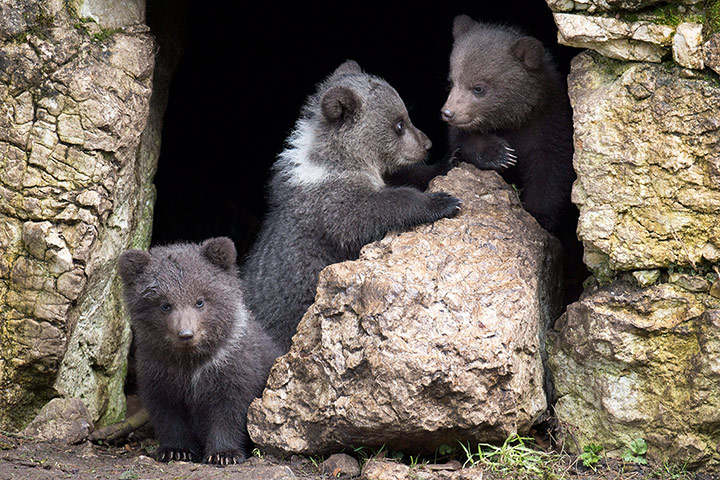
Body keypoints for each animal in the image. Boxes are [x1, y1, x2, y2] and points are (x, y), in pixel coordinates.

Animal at [117, 237, 281, 465]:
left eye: (200, 301)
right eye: (165, 304)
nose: (186, 334)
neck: (191, 362)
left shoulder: (235, 369)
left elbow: (230, 411)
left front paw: (224, 454)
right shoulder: (158, 371)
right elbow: (168, 412)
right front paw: (175, 450)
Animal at [241, 60, 461, 353]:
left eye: (407, 116)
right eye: (399, 124)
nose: (427, 143)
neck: (337, 161)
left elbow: (405, 176)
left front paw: (451, 159)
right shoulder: (330, 201)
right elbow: (367, 214)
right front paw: (442, 201)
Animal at [440, 15, 575, 236]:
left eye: (478, 88)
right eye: (451, 82)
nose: (448, 113)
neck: (515, 119)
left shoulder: (551, 124)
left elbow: (551, 172)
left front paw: (539, 216)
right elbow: (464, 141)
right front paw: (500, 154)